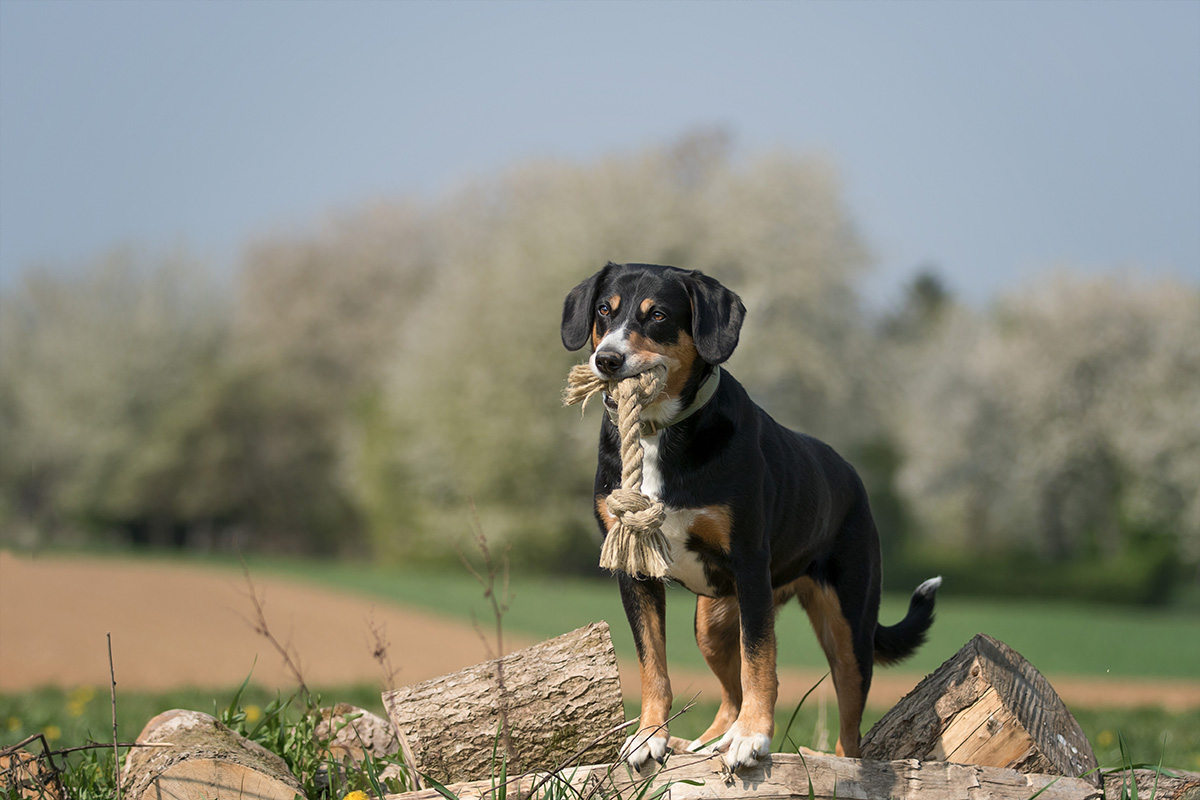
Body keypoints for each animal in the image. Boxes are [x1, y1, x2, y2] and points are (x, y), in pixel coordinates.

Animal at [556, 262, 940, 767]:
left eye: (658, 315)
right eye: (604, 309)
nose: (607, 360)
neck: (659, 432)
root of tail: (852, 477)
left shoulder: (750, 564)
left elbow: (760, 661)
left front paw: (753, 737)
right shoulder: (635, 569)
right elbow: (652, 661)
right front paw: (649, 735)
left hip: (848, 627)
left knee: (849, 726)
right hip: (712, 623)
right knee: (729, 695)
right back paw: (702, 741)